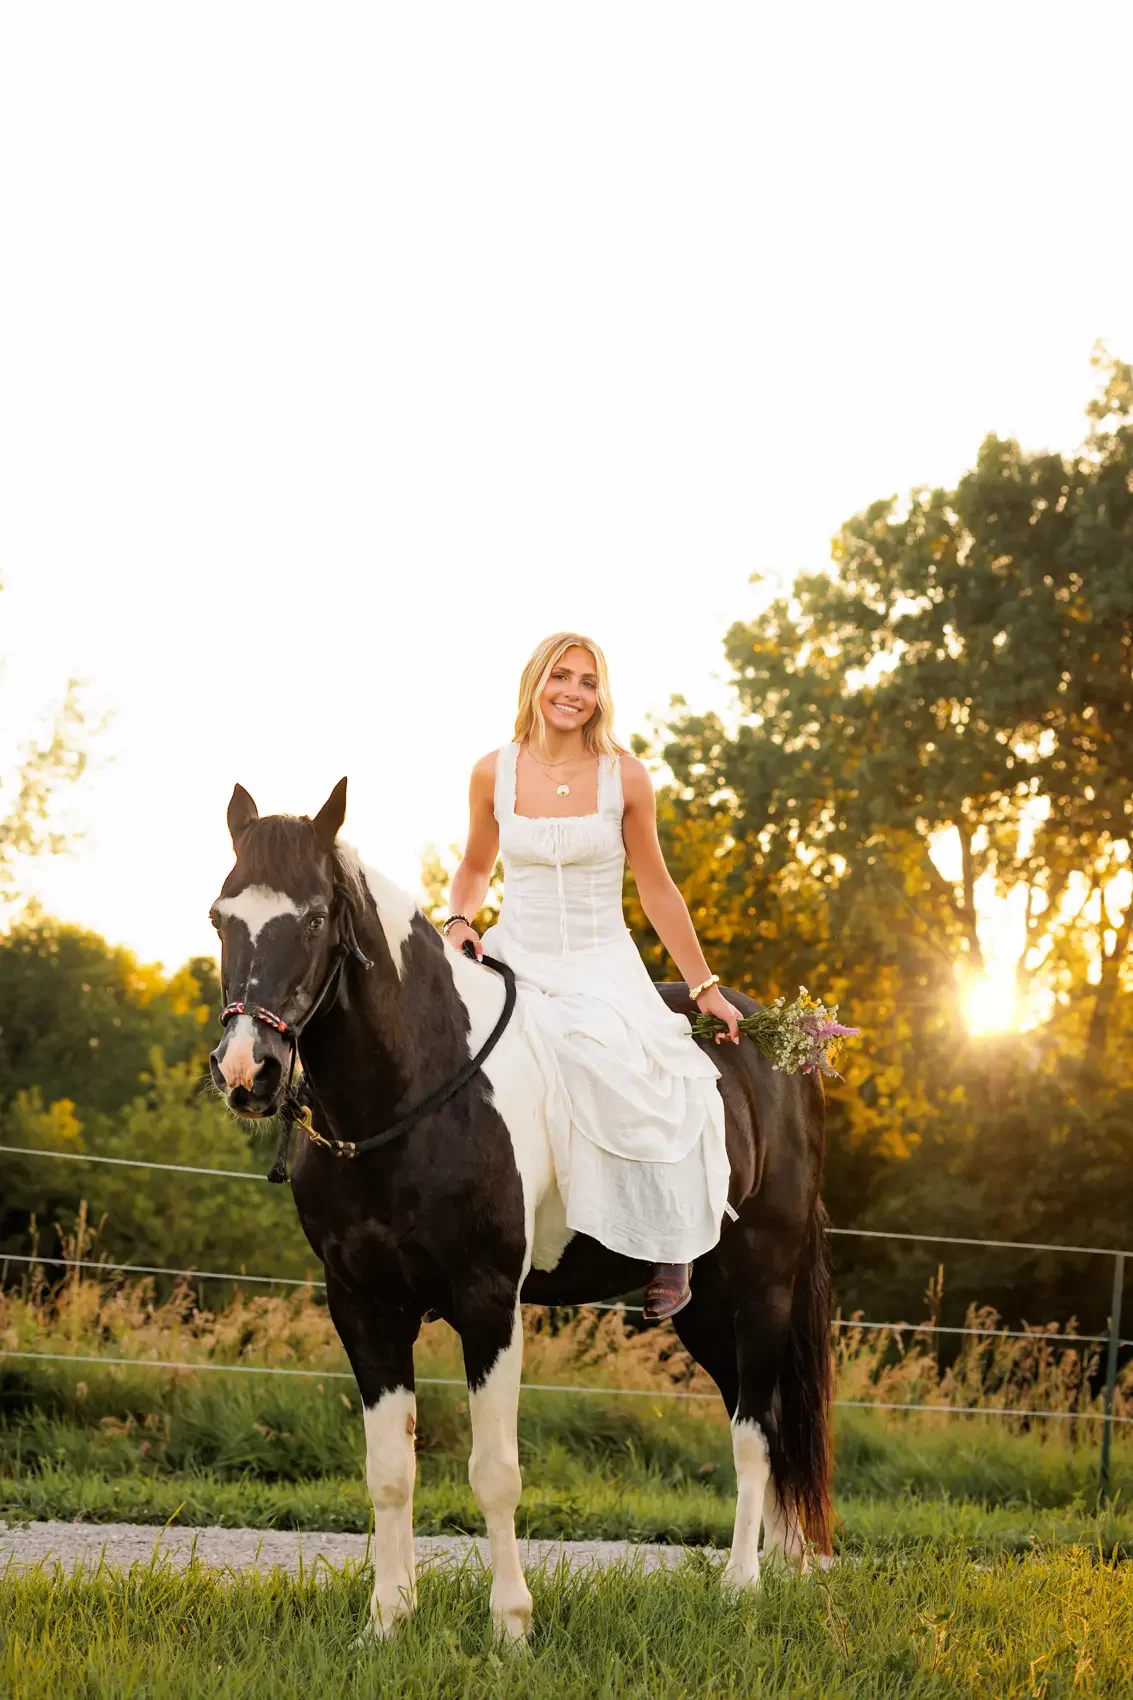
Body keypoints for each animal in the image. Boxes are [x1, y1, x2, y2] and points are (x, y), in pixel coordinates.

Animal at [208, 778, 832, 1642]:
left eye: (312, 918)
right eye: (219, 917)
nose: (247, 1072)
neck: (422, 1089)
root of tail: (776, 1043)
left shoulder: (488, 1303)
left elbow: (494, 1473)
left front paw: (510, 1626)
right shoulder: (362, 1305)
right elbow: (389, 1470)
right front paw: (387, 1621)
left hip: (763, 1288)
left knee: (754, 1432)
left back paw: (742, 1587)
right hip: (704, 1309)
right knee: (762, 1419)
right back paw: (787, 1569)